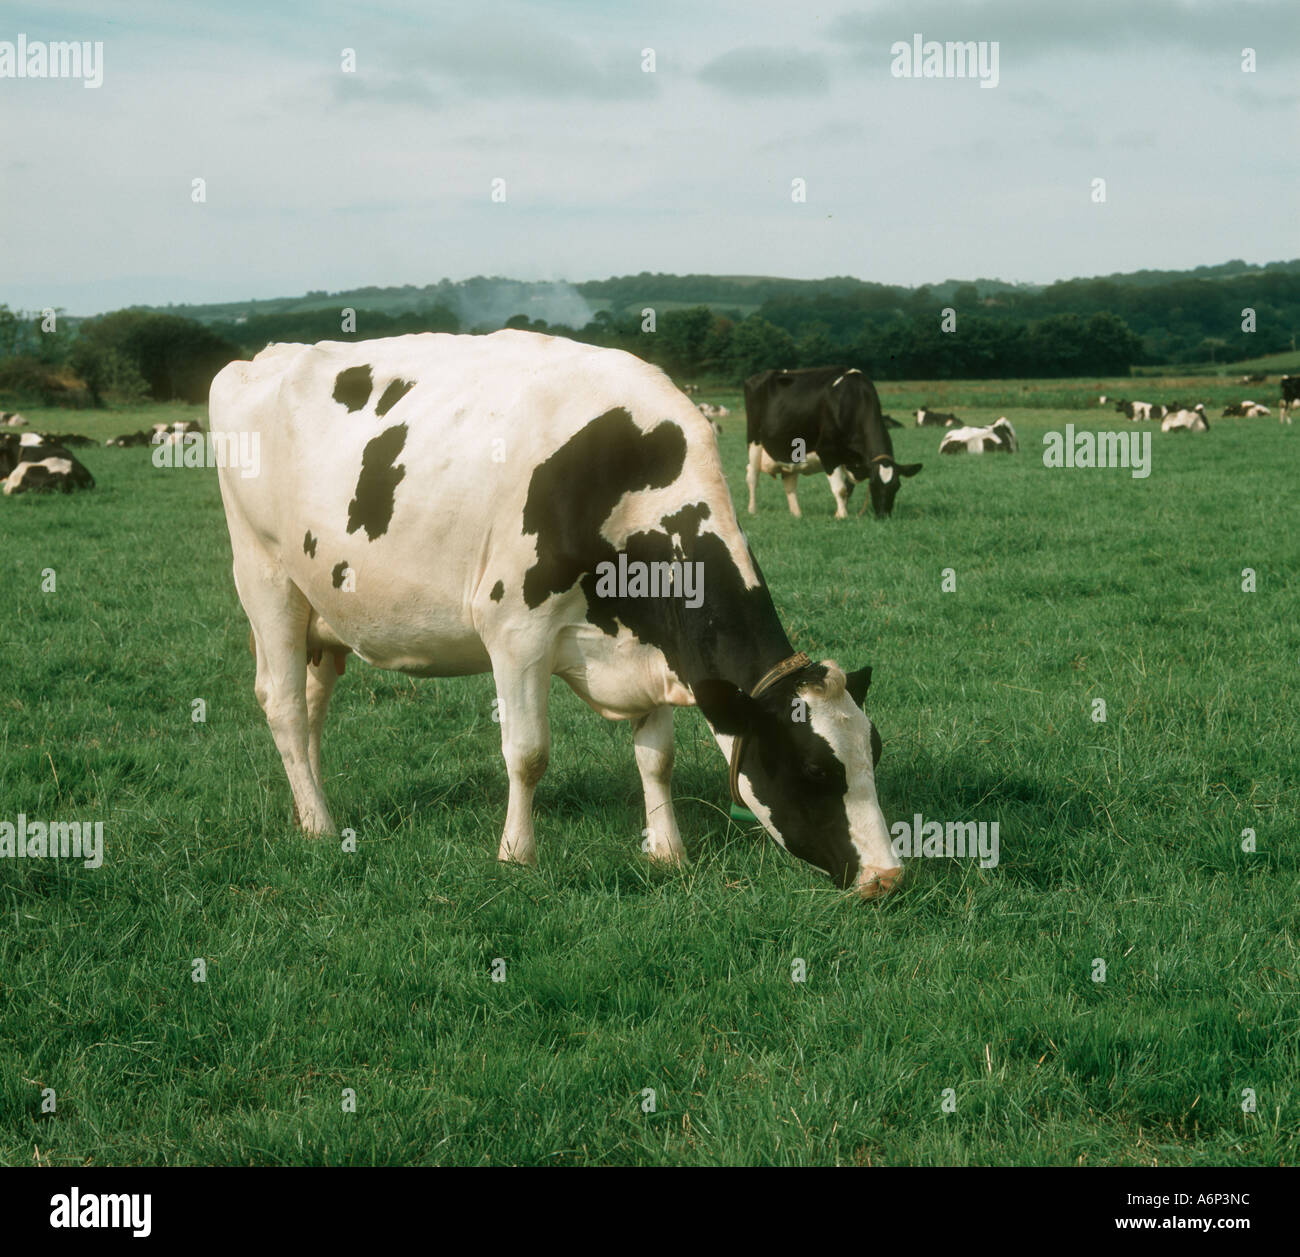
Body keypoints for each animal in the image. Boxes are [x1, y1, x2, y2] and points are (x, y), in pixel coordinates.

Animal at [210, 332, 902, 897]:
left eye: (874, 750)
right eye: (815, 768)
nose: (887, 876)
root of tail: (261, 358)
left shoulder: (654, 641)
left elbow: (657, 756)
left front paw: (667, 852)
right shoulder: (516, 631)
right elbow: (528, 752)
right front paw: (517, 854)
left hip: (322, 613)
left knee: (311, 707)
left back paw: (308, 806)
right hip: (265, 579)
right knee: (283, 704)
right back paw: (321, 827)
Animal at [743, 367, 921, 520]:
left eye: (897, 486)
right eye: (872, 484)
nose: (884, 515)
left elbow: (848, 489)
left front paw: (841, 512)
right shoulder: (828, 452)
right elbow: (840, 489)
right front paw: (842, 516)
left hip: (787, 450)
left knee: (789, 481)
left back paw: (797, 514)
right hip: (754, 441)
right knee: (752, 476)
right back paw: (752, 510)